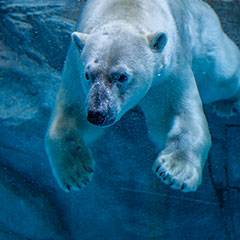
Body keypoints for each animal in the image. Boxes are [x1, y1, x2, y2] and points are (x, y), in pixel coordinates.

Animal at [44, 0, 240, 191]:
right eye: (88, 74)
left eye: (122, 76)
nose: (97, 114)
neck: (126, 11)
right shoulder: (75, 68)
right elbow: (72, 112)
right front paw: (76, 173)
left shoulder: (169, 70)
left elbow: (176, 112)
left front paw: (174, 170)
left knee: (221, 76)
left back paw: (225, 104)